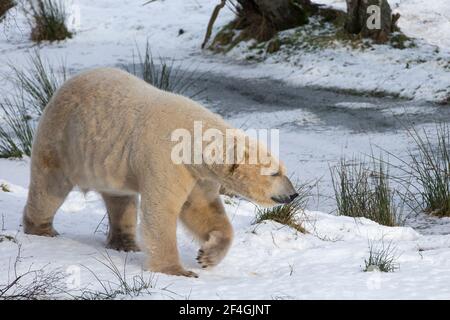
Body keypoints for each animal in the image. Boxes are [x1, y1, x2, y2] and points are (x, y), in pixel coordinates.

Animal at [23, 68, 298, 278]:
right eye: (275, 173)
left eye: (283, 170)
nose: (293, 194)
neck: (194, 142)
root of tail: (63, 87)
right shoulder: (167, 159)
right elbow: (161, 211)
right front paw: (178, 271)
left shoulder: (197, 175)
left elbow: (202, 209)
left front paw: (207, 256)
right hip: (62, 138)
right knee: (49, 186)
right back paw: (42, 229)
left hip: (111, 163)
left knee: (120, 200)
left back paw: (125, 244)